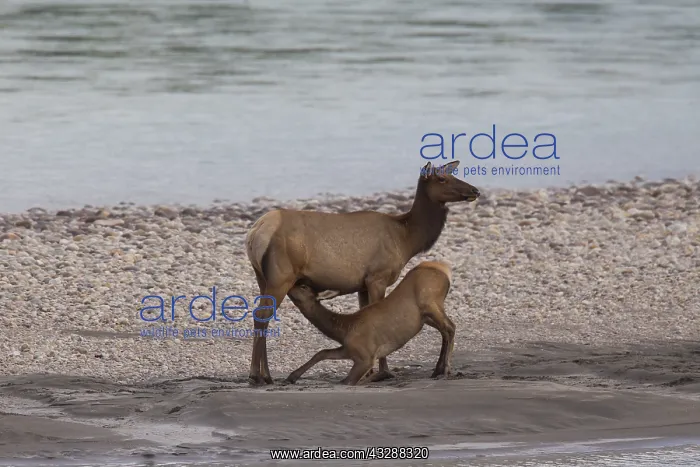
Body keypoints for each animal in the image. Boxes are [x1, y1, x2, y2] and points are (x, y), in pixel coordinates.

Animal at [284, 261, 456, 385]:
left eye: (303, 286)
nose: (288, 285)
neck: (344, 329)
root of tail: (445, 269)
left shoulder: (365, 356)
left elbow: (347, 381)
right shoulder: (349, 350)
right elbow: (322, 352)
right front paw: (291, 377)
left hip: (430, 301)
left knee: (450, 327)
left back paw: (446, 371)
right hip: (426, 316)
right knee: (444, 331)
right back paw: (437, 370)